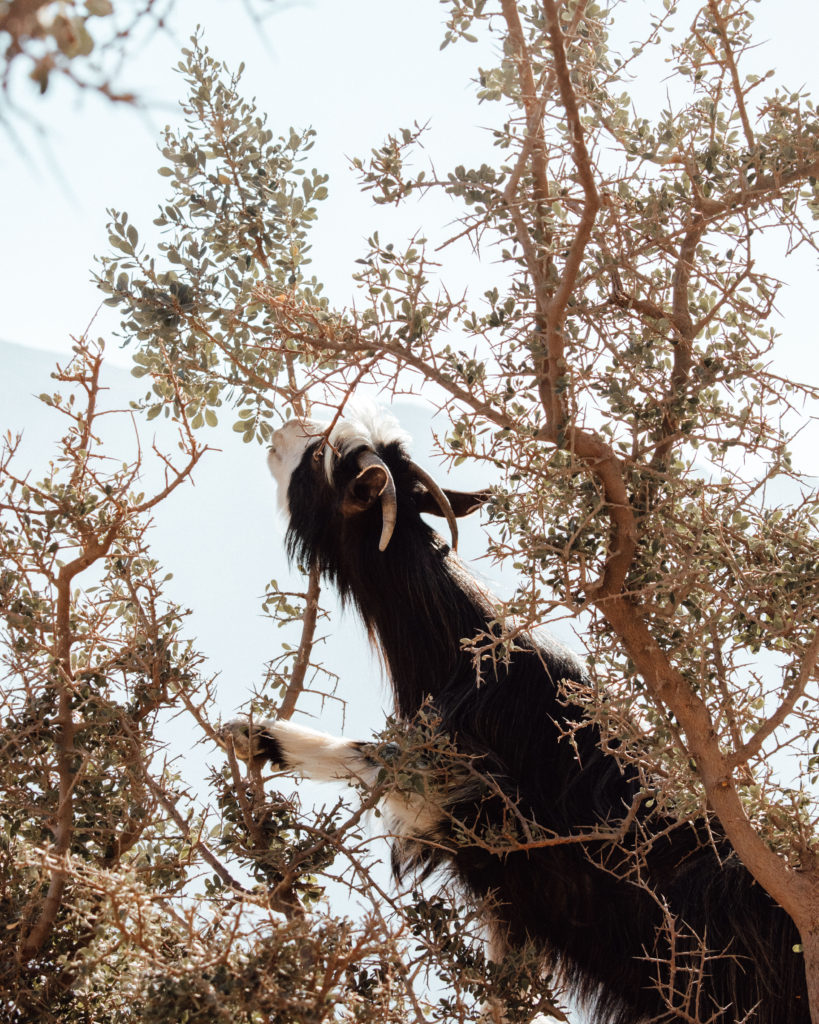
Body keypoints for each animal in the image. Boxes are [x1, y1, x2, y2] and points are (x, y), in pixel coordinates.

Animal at [223, 408, 808, 1024]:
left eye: (320, 459)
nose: (283, 429)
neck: (472, 661)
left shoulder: (466, 792)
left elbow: (378, 755)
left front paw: (256, 733)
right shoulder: (510, 894)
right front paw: (253, 737)